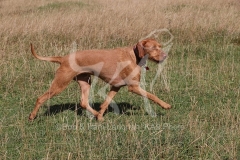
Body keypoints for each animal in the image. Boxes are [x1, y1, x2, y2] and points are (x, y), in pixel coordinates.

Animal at [29, 39, 171, 121]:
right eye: (154, 48)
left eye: (160, 46)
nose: (166, 55)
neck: (134, 56)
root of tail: (63, 58)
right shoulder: (134, 87)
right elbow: (152, 96)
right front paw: (165, 105)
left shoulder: (116, 86)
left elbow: (106, 102)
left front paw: (101, 115)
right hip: (60, 84)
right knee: (40, 98)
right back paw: (32, 116)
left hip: (86, 82)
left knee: (83, 102)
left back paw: (97, 114)